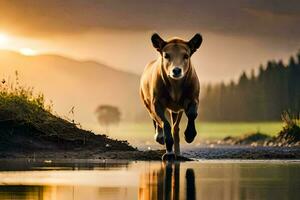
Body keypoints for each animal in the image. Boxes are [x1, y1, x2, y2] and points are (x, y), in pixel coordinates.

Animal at [140, 33, 202, 161]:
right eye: (166, 55)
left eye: (186, 56)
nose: (176, 70)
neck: (175, 86)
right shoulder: (156, 103)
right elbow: (165, 123)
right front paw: (167, 149)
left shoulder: (193, 98)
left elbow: (192, 114)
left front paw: (190, 135)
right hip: (147, 103)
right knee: (156, 120)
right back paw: (161, 138)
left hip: (177, 109)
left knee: (176, 128)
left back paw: (177, 153)